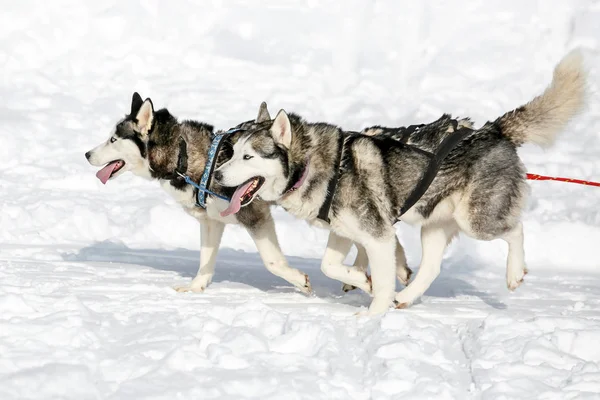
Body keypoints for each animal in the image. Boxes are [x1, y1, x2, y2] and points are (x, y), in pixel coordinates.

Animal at [86, 94, 312, 294]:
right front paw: (195, 287)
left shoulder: (255, 215)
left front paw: (300, 281)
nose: (87, 154)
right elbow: (206, 259)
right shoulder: (211, 221)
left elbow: (271, 261)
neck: (183, 157)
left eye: (113, 139)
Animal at [214, 51, 584, 314]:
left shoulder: (378, 237)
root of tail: (492, 130)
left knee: (515, 229)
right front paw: (361, 280)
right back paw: (406, 296)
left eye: (248, 157)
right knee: (431, 267)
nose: (216, 174)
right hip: (433, 224)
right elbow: (330, 266)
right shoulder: (344, 231)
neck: (324, 165)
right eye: (232, 152)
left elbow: (377, 277)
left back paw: (514, 273)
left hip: (475, 220)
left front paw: (371, 315)